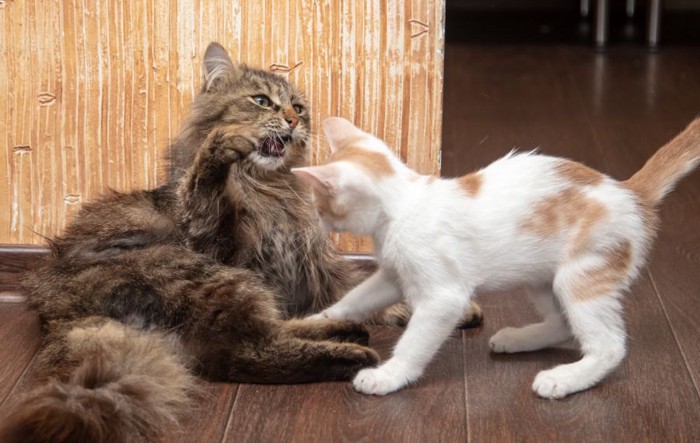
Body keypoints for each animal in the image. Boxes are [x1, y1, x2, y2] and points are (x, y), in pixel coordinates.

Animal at [0, 42, 476, 443]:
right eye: (261, 101)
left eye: (298, 108)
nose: (291, 121)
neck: (269, 191)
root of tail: (59, 311)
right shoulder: (220, 245)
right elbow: (207, 191)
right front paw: (219, 151)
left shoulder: (312, 267)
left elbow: (363, 288)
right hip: (207, 274)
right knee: (239, 353)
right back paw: (353, 354)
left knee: (270, 330)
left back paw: (345, 330)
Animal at [292, 117, 700, 398]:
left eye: (320, 204)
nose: (316, 221)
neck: (402, 204)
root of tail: (629, 192)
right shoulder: (393, 275)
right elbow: (356, 299)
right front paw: (318, 320)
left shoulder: (443, 297)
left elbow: (414, 342)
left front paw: (388, 375)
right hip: (542, 279)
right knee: (564, 323)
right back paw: (519, 339)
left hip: (580, 275)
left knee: (609, 346)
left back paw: (564, 378)